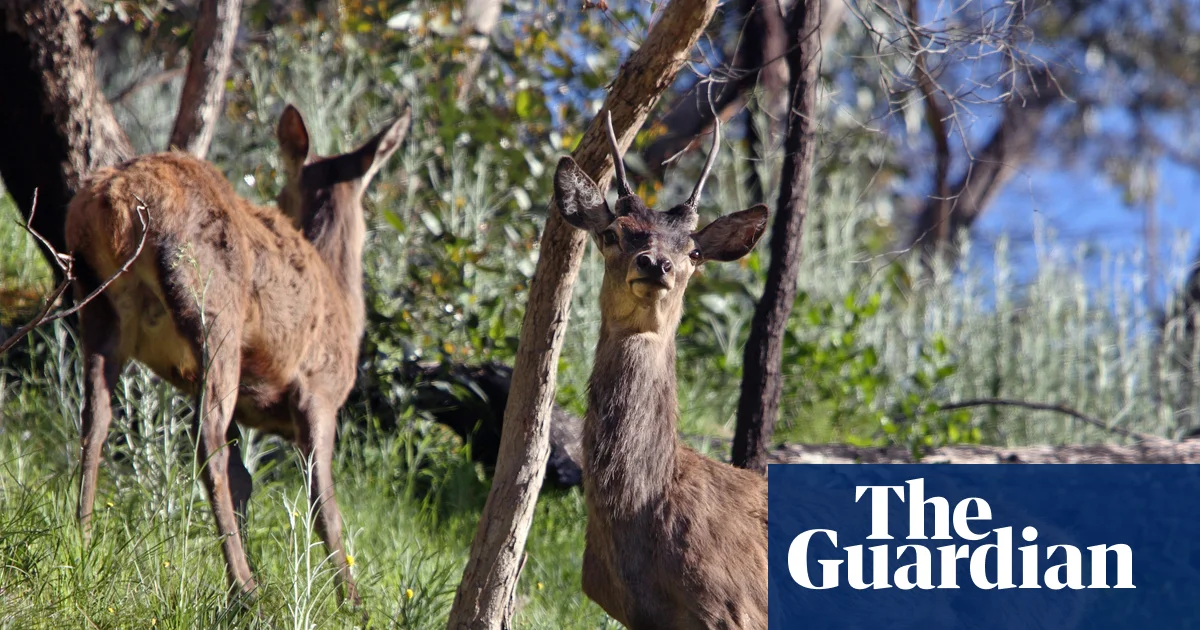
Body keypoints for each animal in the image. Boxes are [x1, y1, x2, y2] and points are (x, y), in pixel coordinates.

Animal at [63, 104, 409, 605]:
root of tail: (119, 199)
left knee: (96, 418)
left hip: (98, 305)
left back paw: (84, 542)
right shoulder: (319, 392)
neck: (344, 298)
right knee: (203, 436)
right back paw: (245, 590)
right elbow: (323, 499)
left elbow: (244, 477)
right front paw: (352, 602)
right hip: (214, 310)